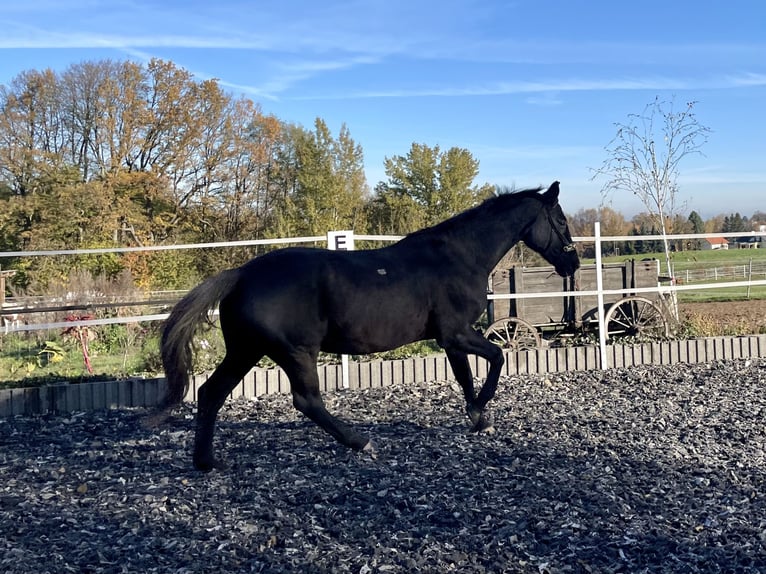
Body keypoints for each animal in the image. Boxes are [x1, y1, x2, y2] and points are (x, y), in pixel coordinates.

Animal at [159, 181, 580, 472]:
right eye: (560, 220)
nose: (572, 264)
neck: (458, 257)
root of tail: (241, 275)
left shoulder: (451, 339)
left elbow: (464, 375)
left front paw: (477, 418)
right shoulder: (458, 332)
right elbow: (497, 358)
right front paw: (480, 411)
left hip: (246, 350)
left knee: (211, 393)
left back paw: (207, 462)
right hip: (295, 351)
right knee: (306, 401)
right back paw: (361, 442)